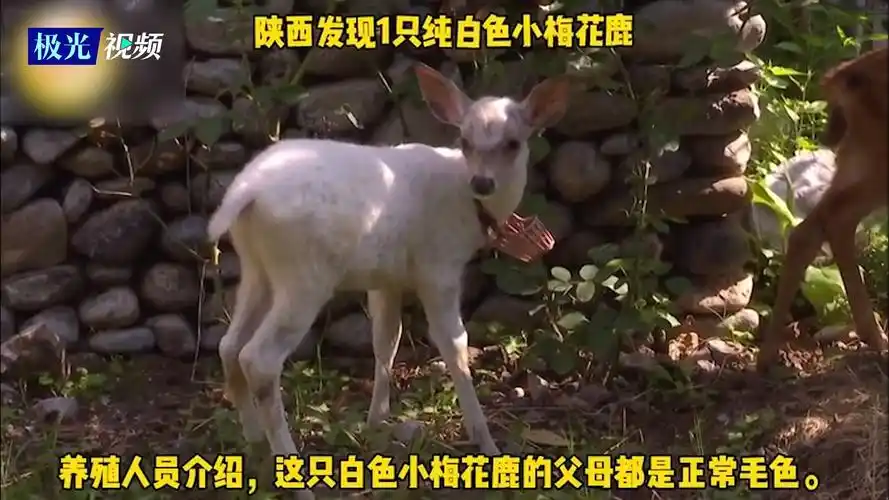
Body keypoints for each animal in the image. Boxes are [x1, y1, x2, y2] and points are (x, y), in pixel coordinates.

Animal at [205, 62, 570, 499]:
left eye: (514, 143)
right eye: (465, 140)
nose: (483, 183)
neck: (469, 207)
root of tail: (245, 191)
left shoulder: (386, 278)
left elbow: (386, 340)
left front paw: (377, 420)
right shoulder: (439, 268)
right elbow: (454, 345)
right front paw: (487, 443)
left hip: (257, 266)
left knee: (229, 345)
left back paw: (254, 442)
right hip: (304, 275)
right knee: (258, 359)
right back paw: (295, 479)